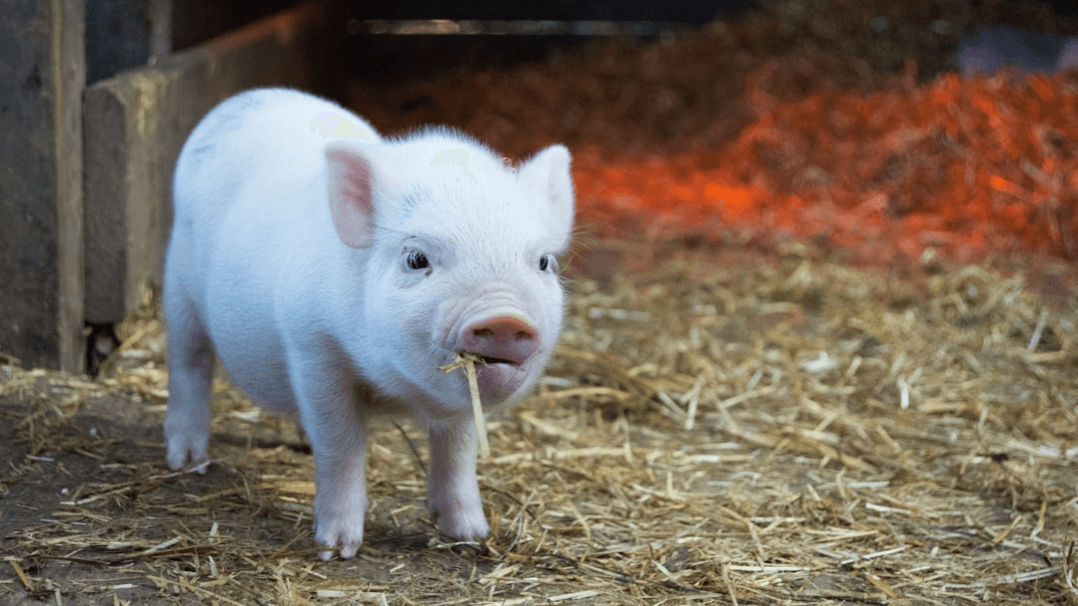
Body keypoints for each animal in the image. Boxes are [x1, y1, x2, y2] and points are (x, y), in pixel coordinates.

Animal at [162, 88, 574, 560]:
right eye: (416, 258)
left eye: (543, 262)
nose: (505, 317)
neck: (396, 391)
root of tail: (246, 98)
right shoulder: (313, 348)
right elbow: (341, 447)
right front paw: (336, 550)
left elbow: (457, 453)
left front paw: (472, 536)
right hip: (178, 286)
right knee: (189, 362)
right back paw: (186, 461)